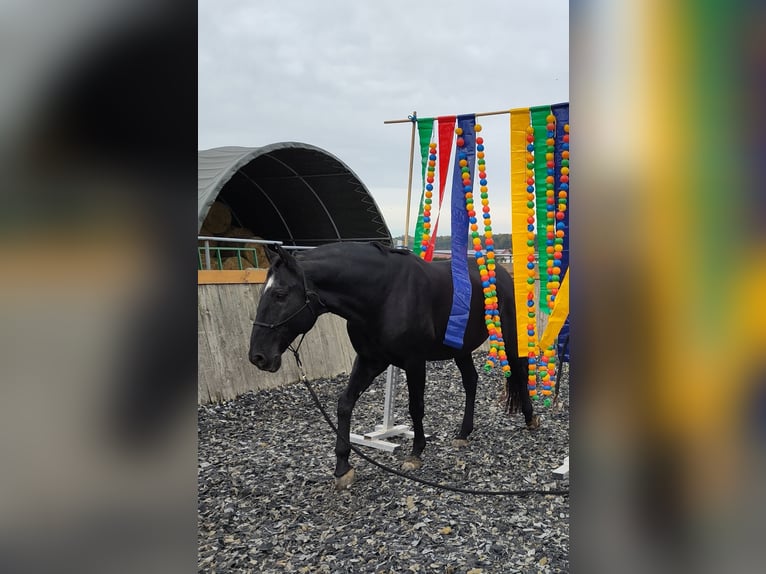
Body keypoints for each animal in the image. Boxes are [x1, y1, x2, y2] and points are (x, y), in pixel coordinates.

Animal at [249, 243, 536, 490]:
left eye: (280, 294)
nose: (257, 357)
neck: (383, 294)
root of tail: (501, 272)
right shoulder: (369, 360)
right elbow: (345, 404)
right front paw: (343, 467)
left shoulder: (414, 361)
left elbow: (415, 406)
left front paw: (416, 453)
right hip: (461, 348)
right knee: (471, 381)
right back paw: (464, 433)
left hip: (509, 338)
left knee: (519, 373)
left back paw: (531, 419)